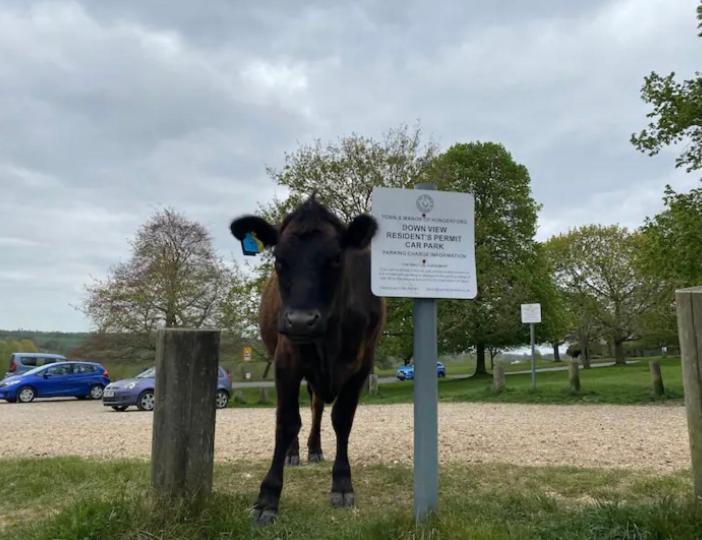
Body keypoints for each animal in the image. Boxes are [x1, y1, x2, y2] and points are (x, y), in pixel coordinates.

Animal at [230, 196, 384, 524]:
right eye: (279, 259)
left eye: (336, 258)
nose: (301, 321)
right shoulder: (286, 358)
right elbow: (286, 420)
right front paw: (268, 497)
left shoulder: (362, 365)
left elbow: (342, 419)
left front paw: (342, 484)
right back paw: (294, 453)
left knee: (316, 408)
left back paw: (314, 449)